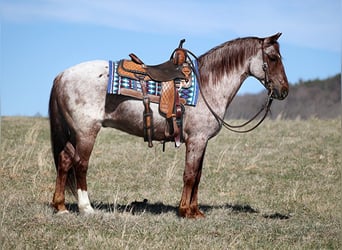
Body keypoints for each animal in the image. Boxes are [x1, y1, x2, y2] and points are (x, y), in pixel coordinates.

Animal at [48, 32, 288, 217]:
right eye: (273, 57)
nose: (284, 90)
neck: (208, 85)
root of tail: (62, 75)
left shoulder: (201, 141)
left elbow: (198, 175)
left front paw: (196, 211)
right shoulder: (197, 140)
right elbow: (190, 175)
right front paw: (185, 211)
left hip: (74, 133)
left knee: (65, 161)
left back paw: (61, 207)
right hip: (86, 132)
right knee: (80, 164)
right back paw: (86, 208)